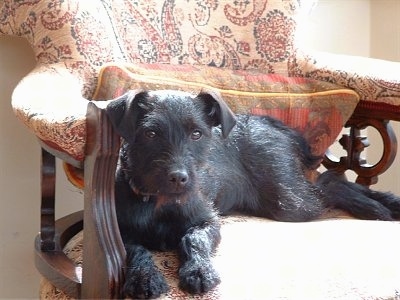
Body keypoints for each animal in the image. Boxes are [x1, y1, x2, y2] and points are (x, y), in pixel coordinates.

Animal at [105, 88, 400, 298]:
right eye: (151, 133)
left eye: (197, 134)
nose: (179, 178)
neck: (159, 203)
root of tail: (271, 123)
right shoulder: (121, 230)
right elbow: (136, 249)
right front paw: (145, 277)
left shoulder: (208, 221)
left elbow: (193, 239)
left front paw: (199, 270)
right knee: (330, 181)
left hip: (289, 199)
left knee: (330, 183)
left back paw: (379, 206)